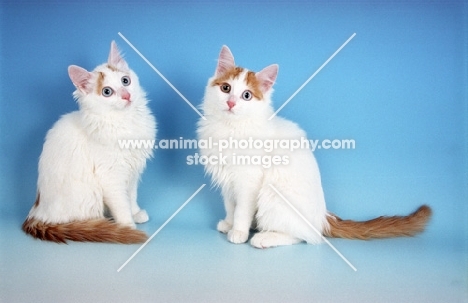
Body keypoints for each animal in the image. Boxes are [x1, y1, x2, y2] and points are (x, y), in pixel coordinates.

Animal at [22, 41, 156, 245]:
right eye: (107, 92)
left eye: (125, 81)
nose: (126, 95)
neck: (126, 121)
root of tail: (36, 214)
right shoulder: (110, 176)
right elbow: (121, 203)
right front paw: (127, 226)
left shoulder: (132, 172)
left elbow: (131, 196)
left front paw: (136, 213)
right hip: (90, 195)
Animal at [197, 45, 432, 249]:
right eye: (226, 88)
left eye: (246, 95)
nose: (231, 103)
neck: (230, 128)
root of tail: (323, 217)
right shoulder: (228, 181)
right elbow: (231, 206)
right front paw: (228, 223)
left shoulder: (248, 182)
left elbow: (242, 211)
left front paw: (238, 231)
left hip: (273, 196)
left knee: (305, 236)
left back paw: (264, 238)